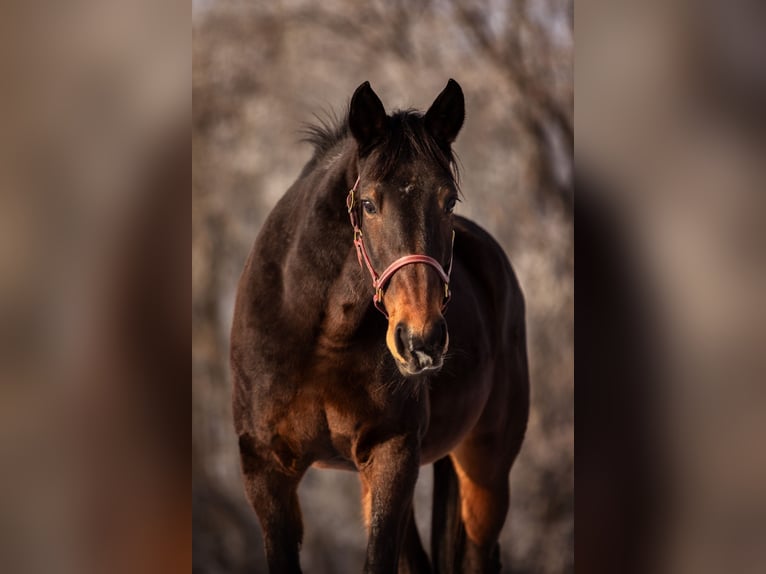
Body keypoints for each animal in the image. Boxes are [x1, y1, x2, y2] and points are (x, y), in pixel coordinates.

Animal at [231, 79, 529, 574]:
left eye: (449, 200)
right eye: (368, 203)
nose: (422, 340)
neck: (320, 338)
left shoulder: (393, 454)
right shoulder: (266, 469)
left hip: (486, 471)